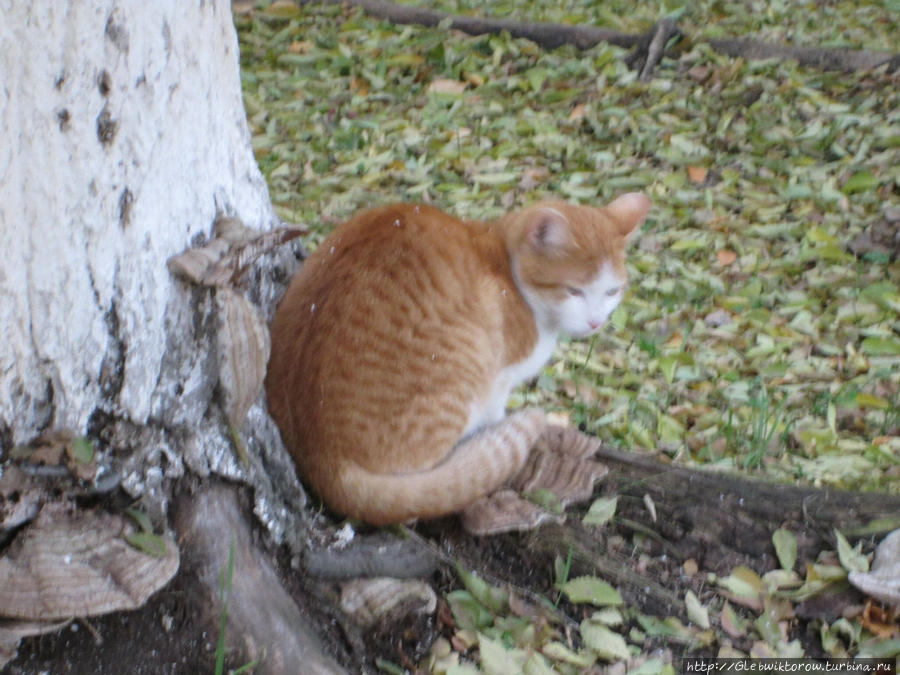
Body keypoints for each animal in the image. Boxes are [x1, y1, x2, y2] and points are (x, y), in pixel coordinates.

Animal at [264, 193, 652, 524]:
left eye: (612, 291)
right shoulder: (499, 379)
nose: (595, 322)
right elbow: (497, 413)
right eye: (573, 291)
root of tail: (323, 460)